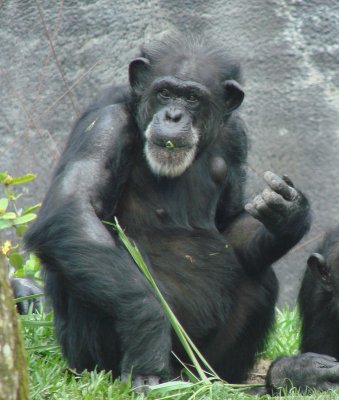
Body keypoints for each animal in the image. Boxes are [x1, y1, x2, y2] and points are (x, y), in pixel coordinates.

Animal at [22, 33, 330, 390]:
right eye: (165, 92)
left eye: (193, 98)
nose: (173, 116)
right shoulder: (105, 124)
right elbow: (74, 208)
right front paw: (147, 332)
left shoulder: (236, 135)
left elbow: (228, 222)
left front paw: (289, 213)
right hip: (87, 358)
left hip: (200, 359)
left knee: (258, 277)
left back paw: (215, 380)